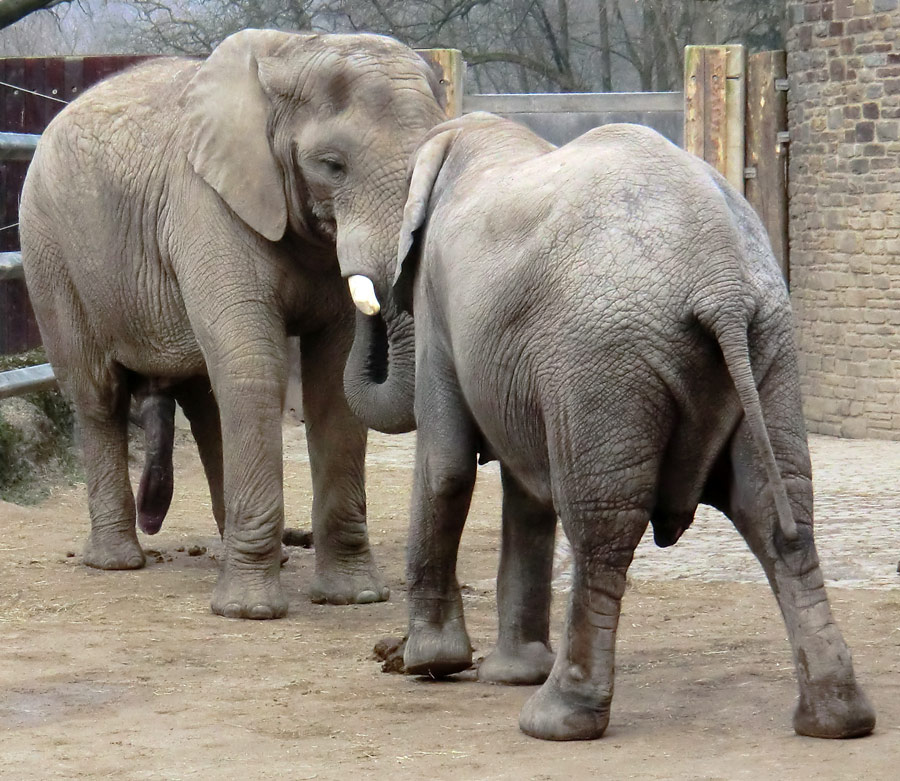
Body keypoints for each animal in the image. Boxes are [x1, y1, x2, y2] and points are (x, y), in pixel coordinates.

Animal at [17, 27, 446, 620]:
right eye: (331, 165)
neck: (292, 54)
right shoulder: (206, 203)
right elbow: (253, 366)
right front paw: (250, 612)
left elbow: (331, 384)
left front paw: (353, 597)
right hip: (50, 252)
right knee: (98, 393)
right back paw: (116, 562)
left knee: (206, 402)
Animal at [348, 112, 876, 740]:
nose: (362, 292)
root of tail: (721, 282)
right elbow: (525, 494)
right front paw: (505, 673)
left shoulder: (437, 303)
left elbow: (447, 470)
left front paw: (426, 664)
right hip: (767, 347)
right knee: (779, 512)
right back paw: (837, 719)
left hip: (603, 360)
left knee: (603, 525)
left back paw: (555, 720)